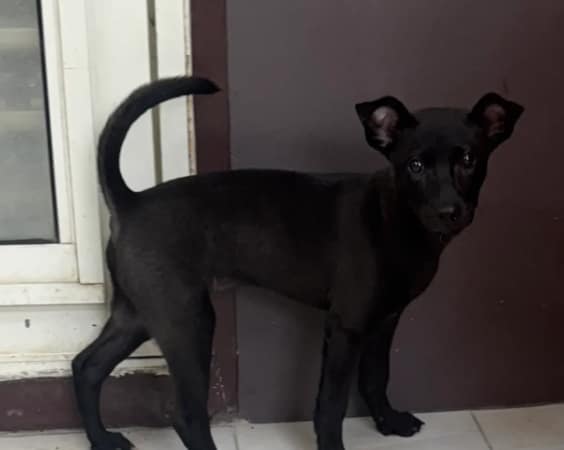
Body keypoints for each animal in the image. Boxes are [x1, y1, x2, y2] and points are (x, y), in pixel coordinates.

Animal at [72, 76, 523, 450]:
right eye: (414, 165)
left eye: (469, 160)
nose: (450, 212)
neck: (395, 218)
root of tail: (131, 202)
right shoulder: (346, 327)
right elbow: (331, 404)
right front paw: (334, 447)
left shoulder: (385, 320)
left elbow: (376, 377)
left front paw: (388, 423)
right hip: (187, 320)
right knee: (185, 415)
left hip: (140, 312)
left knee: (87, 366)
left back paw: (102, 440)